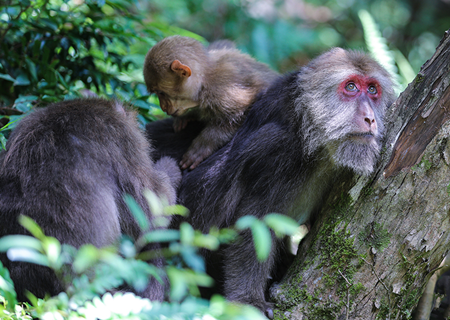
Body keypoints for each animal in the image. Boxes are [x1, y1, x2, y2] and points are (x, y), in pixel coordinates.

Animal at [144, 35, 280, 170]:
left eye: (161, 93)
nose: (163, 107)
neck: (204, 82)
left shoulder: (222, 93)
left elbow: (243, 111)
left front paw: (204, 144)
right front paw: (187, 116)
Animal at [146, 48, 396, 316]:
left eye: (372, 90)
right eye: (351, 87)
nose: (370, 118)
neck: (309, 135)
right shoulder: (274, 149)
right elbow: (254, 225)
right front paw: (248, 299)